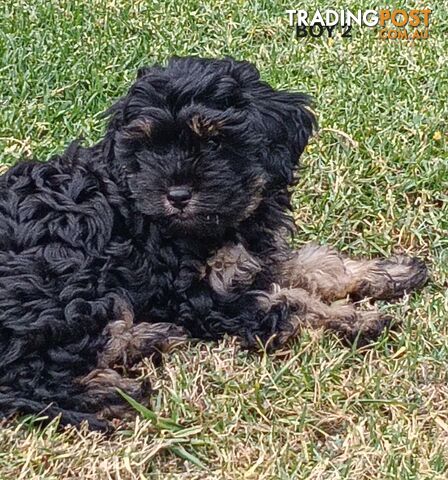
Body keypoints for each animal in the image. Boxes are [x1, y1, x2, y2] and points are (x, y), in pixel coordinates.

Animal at [0, 58, 428, 430]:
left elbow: (316, 265)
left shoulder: (254, 259)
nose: (177, 195)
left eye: (215, 142)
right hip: (68, 286)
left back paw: (150, 338)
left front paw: (389, 272)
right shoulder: (200, 296)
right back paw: (117, 390)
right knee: (31, 375)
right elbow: (291, 302)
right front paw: (355, 318)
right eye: (147, 147)